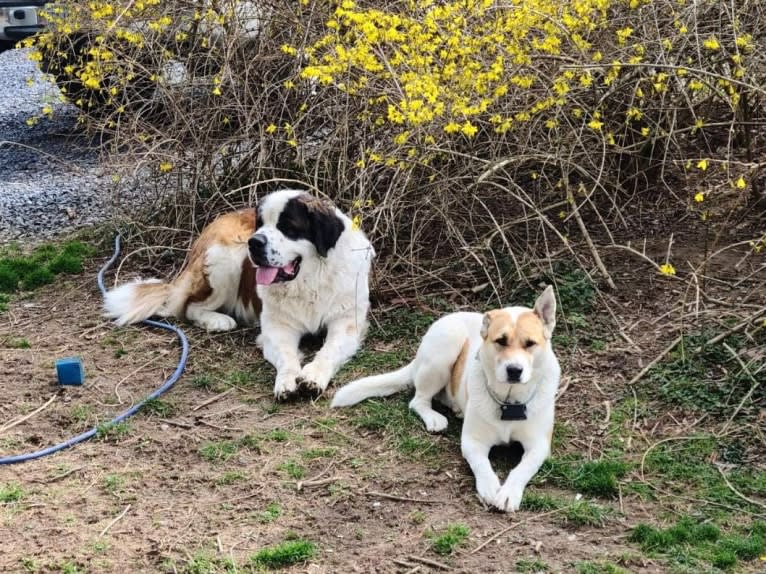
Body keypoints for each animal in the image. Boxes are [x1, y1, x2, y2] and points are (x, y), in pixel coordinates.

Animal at [104, 189, 376, 400]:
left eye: (288, 227)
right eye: (260, 224)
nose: (255, 242)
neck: (309, 282)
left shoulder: (346, 323)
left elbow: (328, 350)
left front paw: (313, 376)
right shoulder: (277, 328)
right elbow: (287, 356)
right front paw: (286, 381)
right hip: (227, 257)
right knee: (189, 307)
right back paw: (218, 321)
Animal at [332, 288, 560, 512]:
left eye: (530, 344)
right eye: (500, 341)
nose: (514, 370)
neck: (509, 401)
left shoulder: (539, 446)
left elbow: (522, 468)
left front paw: (508, 493)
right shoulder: (472, 442)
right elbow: (482, 465)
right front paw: (489, 486)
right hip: (446, 346)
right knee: (418, 400)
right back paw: (434, 418)